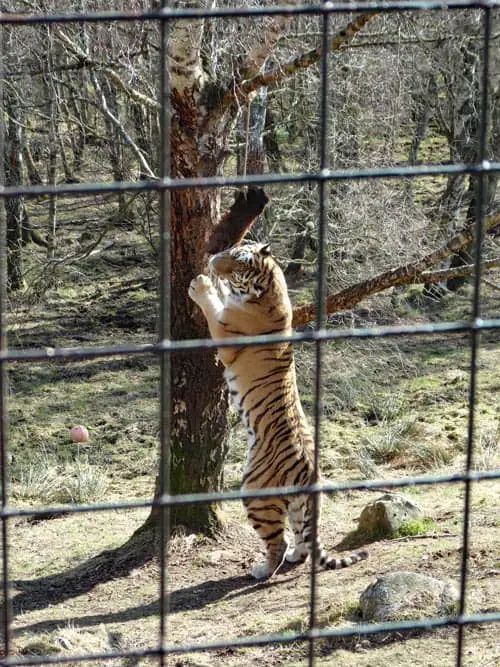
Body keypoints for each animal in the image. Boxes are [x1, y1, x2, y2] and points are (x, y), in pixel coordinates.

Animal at [188, 241, 368, 580]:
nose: (213, 259)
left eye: (239, 267)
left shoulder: (225, 331)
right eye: (234, 251)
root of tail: (308, 471)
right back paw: (297, 555)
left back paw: (262, 570)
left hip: (255, 494)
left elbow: (213, 307)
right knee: (302, 537)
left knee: (277, 542)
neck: (271, 285)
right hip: (298, 506)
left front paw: (202, 285)